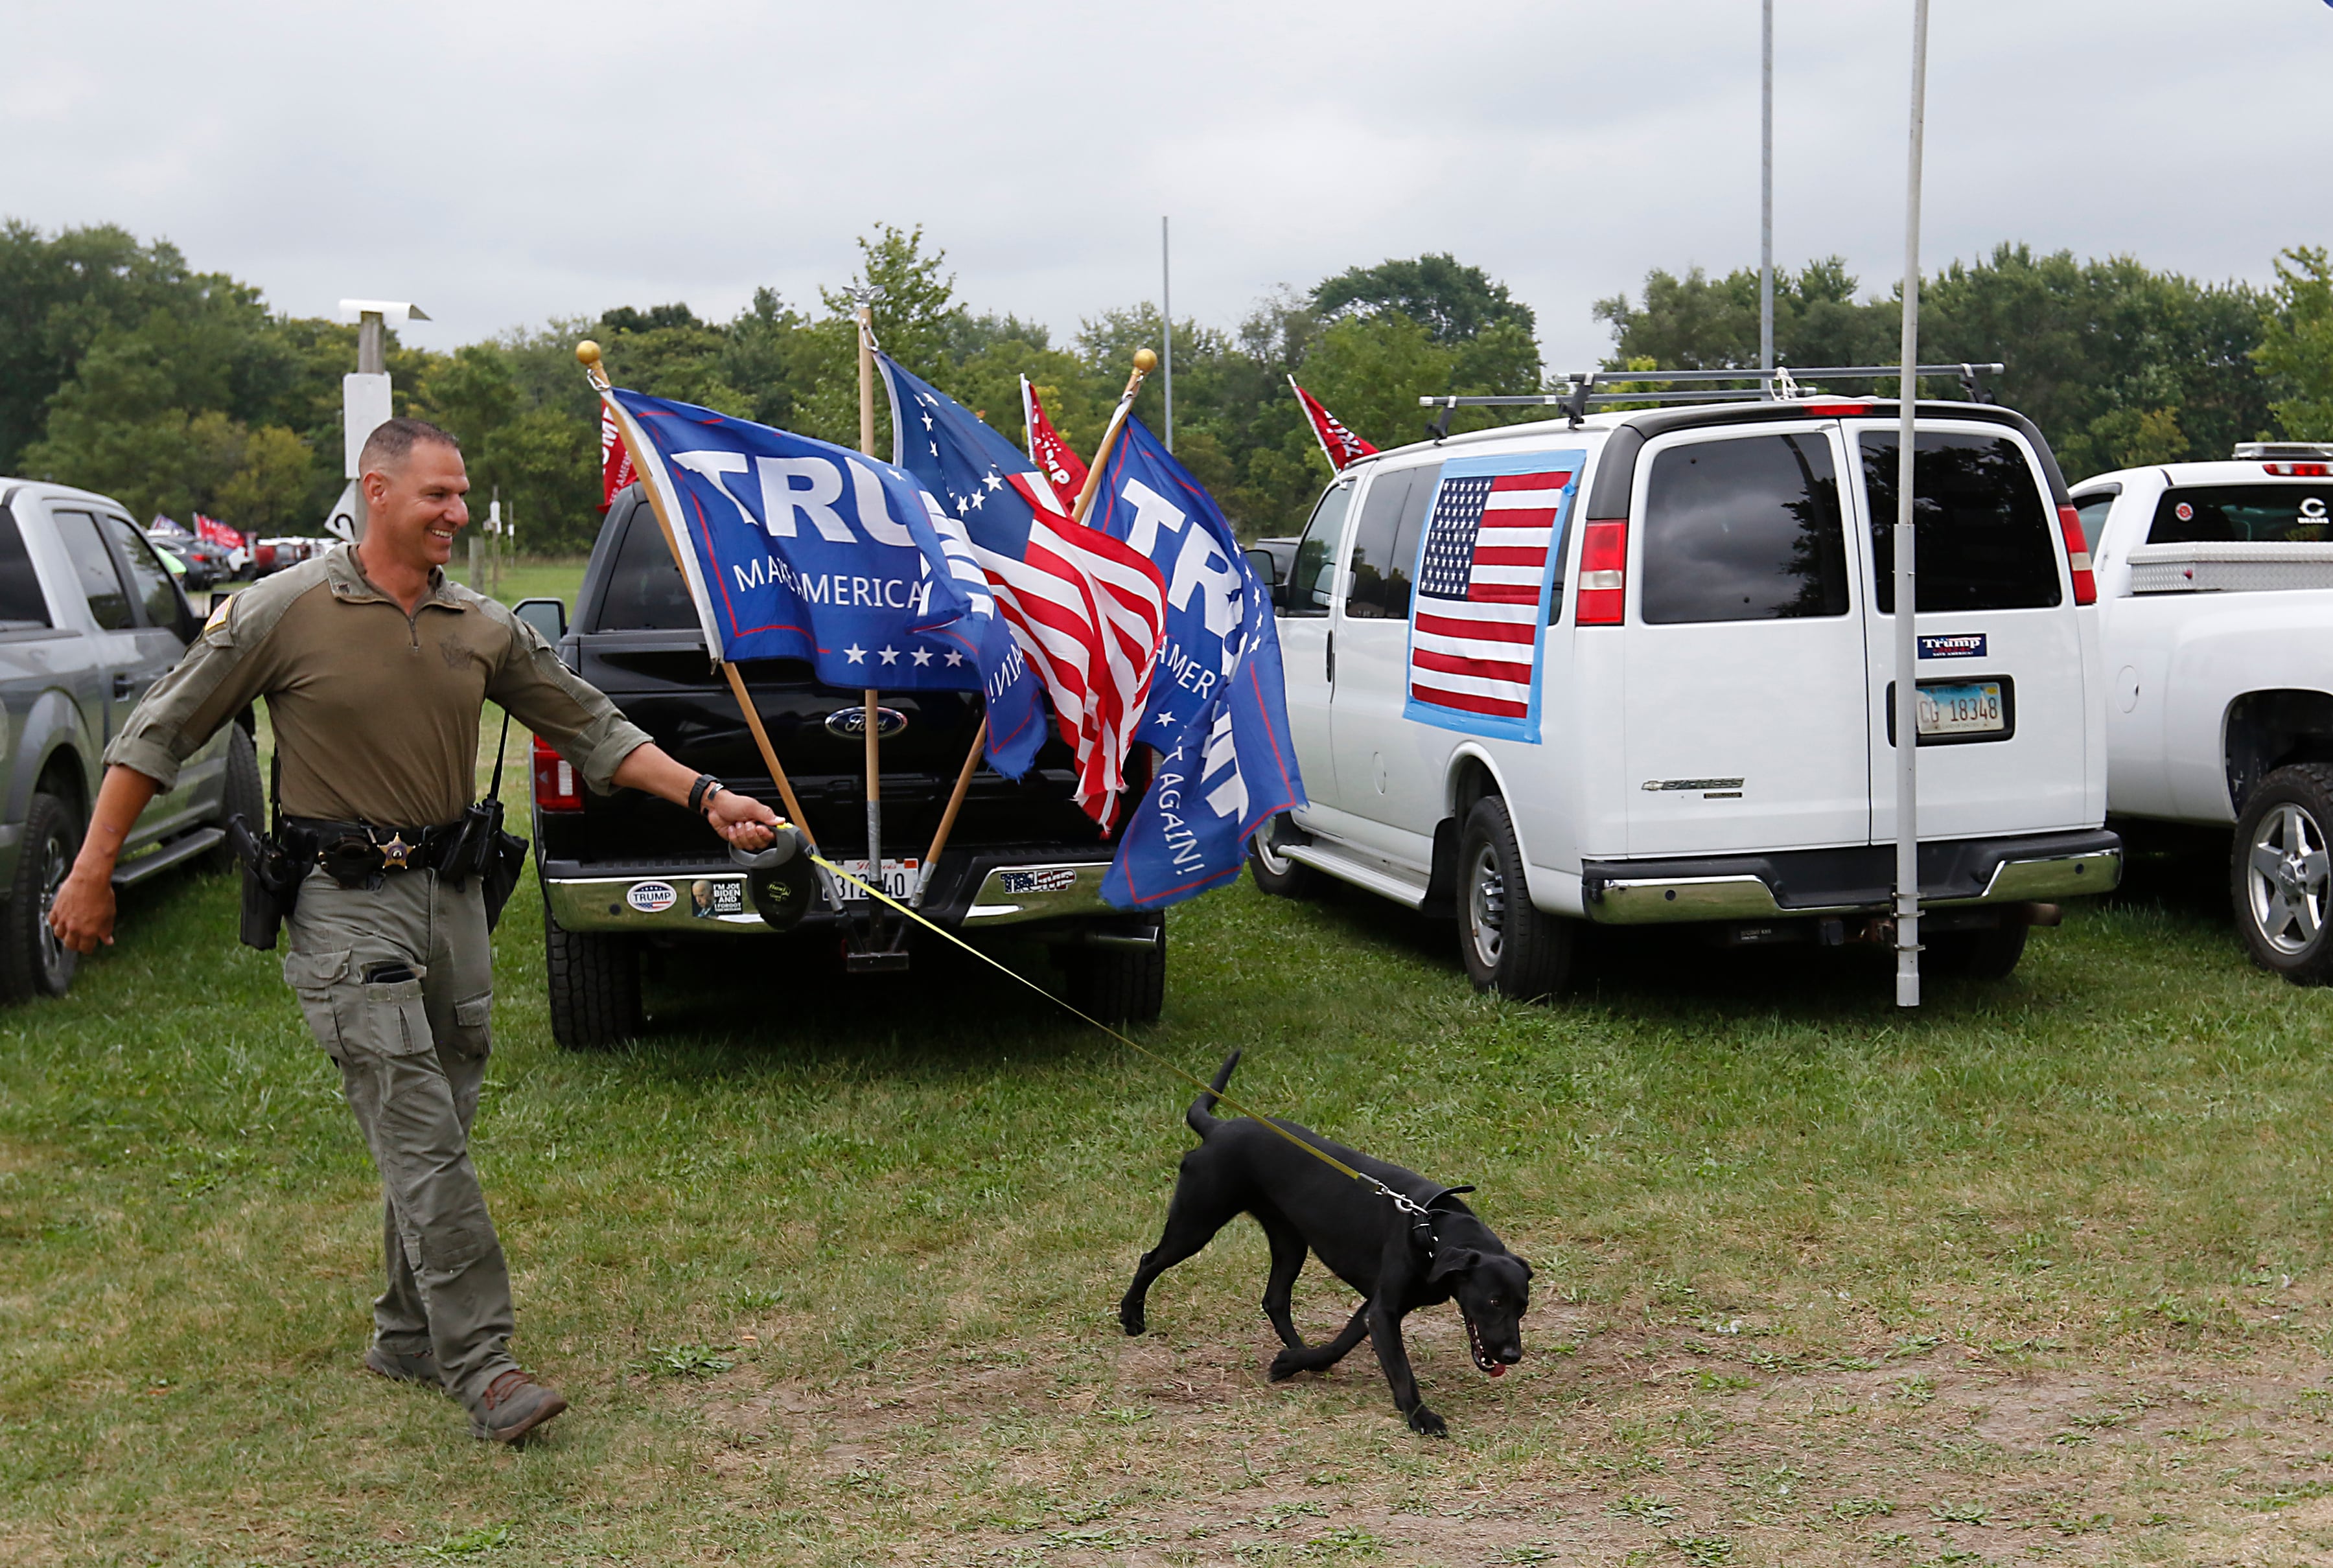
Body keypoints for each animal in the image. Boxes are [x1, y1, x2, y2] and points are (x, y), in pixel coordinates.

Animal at [1115, 1054, 1530, 1437]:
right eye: (1494, 1301)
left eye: (1522, 1307)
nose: (1513, 1355)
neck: (1433, 1228)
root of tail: (1217, 1129)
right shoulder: (1384, 1311)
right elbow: (1401, 1370)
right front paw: (1420, 1416)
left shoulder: (1373, 1307)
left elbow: (1337, 1346)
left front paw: (1294, 1362)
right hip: (1196, 1223)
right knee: (1150, 1260)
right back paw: (1131, 1316)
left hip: (1289, 1241)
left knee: (1275, 1300)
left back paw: (1296, 1347)